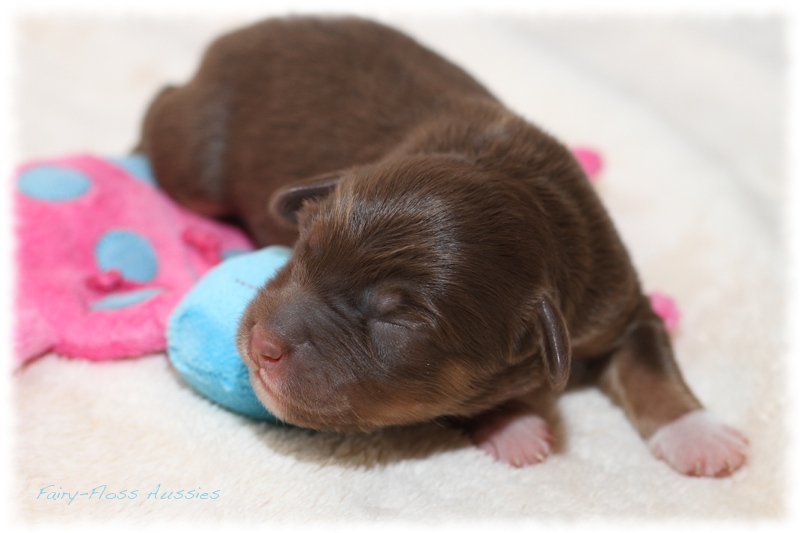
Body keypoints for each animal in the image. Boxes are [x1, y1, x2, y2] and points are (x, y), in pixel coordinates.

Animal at [138, 16, 752, 476]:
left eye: (399, 322)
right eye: (304, 247)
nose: (262, 344)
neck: (515, 182)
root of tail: (237, 34)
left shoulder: (614, 295)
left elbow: (650, 362)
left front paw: (699, 435)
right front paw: (513, 424)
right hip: (194, 160)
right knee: (163, 109)